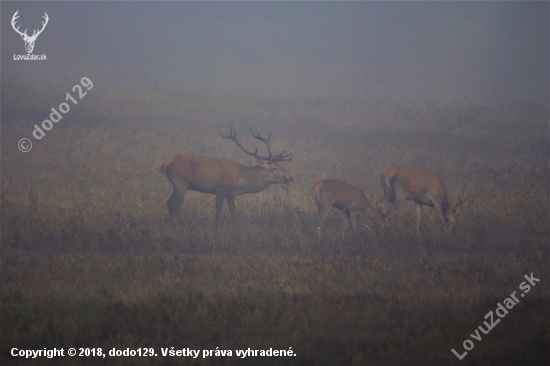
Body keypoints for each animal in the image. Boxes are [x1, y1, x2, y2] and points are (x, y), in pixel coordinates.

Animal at [162, 123, 296, 227]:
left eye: (281, 166)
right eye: (274, 168)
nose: (291, 177)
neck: (240, 180)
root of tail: (166, 163)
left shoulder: (231, 195)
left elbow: (234, 214)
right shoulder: (221, 189)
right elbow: (218, 212)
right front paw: (215, 229)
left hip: (176, 185)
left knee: (169, 203)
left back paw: (172, 226)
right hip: (181, 182)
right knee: (176, 206)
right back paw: (183, 226)